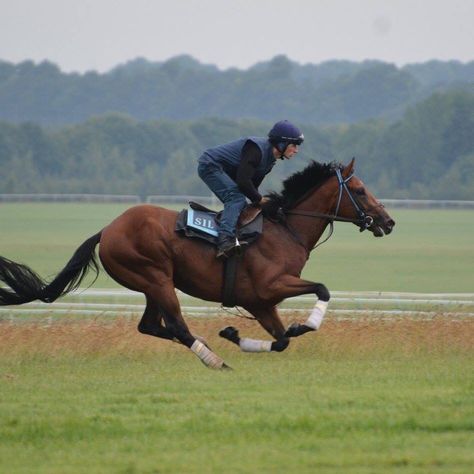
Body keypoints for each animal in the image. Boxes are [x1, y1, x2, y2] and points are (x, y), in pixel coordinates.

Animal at [0, 159, 394, 370]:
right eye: (360, 190)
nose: (388, 222)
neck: (285, 228)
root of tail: (107, 230)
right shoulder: (270, 286)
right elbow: (321, 290)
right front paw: (306, 323)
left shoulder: (260, 302)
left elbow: (283, 339)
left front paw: (235, 334)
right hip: (156, 278)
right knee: (177, 325)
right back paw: (216, 361)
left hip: (153, 284)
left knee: (152, 326)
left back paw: (210, 344)